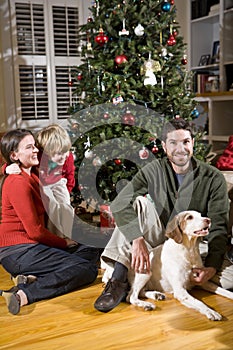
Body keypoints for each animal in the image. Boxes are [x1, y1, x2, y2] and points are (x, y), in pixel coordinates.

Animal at [102, 211, 233, 320]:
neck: (188, 251)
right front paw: (211, 312)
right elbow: (199, 302)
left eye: (201, 215)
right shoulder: (180, 291)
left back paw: (157, 295)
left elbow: (224, 290)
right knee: (131, 296)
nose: (208, 220)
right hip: (145, 272)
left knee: (139, 292)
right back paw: (147, 304)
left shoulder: (203, 280)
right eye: (189, 217)